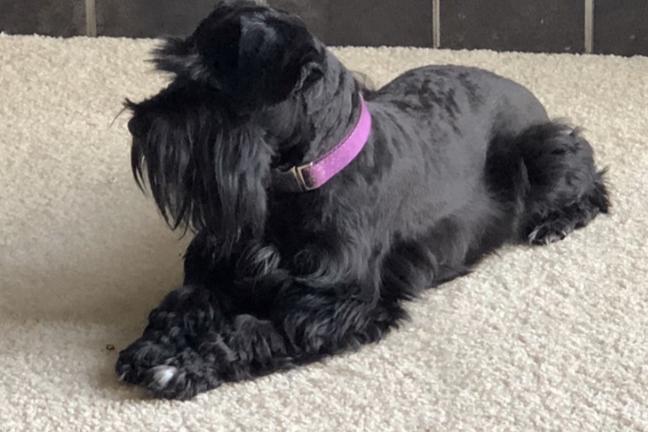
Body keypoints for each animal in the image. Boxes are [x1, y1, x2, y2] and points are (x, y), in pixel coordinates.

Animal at [116, 0, 609, 399]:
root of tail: (527, 95)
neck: (300, 181)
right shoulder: (221, 265)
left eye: (209, 85)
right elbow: (186, 301)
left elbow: (252, 330)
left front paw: (182, 367)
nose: (136, 124)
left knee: (593, 181)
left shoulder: (334, 305)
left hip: (544, 154)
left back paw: (553, 224)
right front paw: (152, 346)